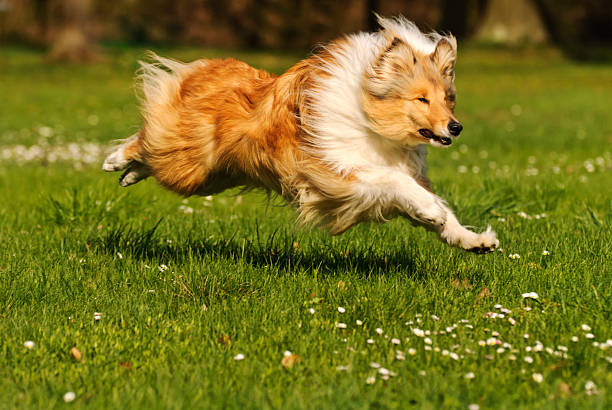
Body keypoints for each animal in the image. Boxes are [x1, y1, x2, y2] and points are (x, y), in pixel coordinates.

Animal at [103, 16, 500, 253]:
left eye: (448, 98)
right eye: (421, 98)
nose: (455, 127)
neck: (368, 114)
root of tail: (210, 67)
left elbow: (433, 206)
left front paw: (473, 240)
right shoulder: (336, 171)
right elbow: (396, 183)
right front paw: (432, 211)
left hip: (213, 175)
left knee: (150, 158)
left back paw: (128, 175)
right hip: (189, 164)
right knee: (147, 142)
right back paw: (114, 161)